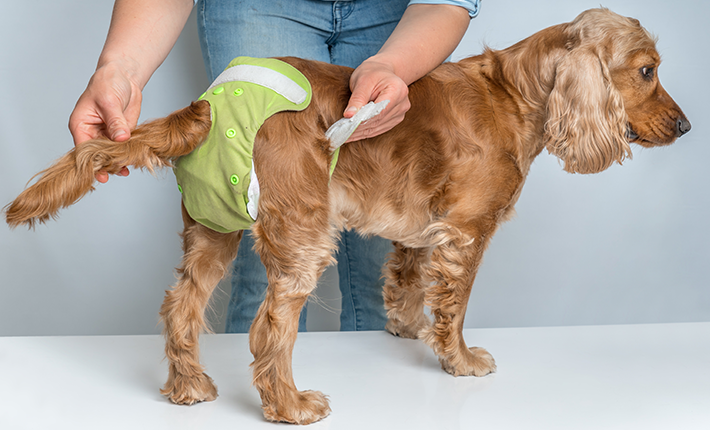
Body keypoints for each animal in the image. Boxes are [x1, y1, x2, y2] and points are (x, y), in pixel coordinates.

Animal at [4, 8, 696, 424]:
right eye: (647, 71)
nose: (688, 126)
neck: (517, 92)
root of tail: (207, 105)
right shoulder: (467, 230)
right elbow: (456, 304)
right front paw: (459, 359)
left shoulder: (421, 229)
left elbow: (406, 284)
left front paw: (407, 332)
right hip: (302, 232)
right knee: (268, 328)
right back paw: (289, 404)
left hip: (213, 231)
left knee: (180, 306)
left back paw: (189, 387)